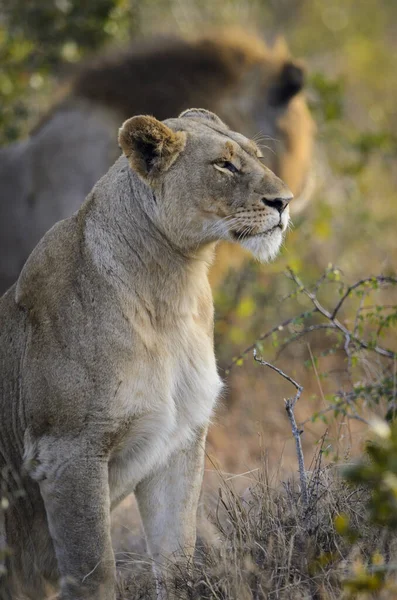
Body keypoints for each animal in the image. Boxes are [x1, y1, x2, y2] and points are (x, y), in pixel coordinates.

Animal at [0, 109, 290, 600]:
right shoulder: (67, 452)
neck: (172, 290)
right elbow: (94, 570)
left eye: (256, 155)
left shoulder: (179, 440)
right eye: (224, 165)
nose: (285, 201)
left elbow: (176, 556)